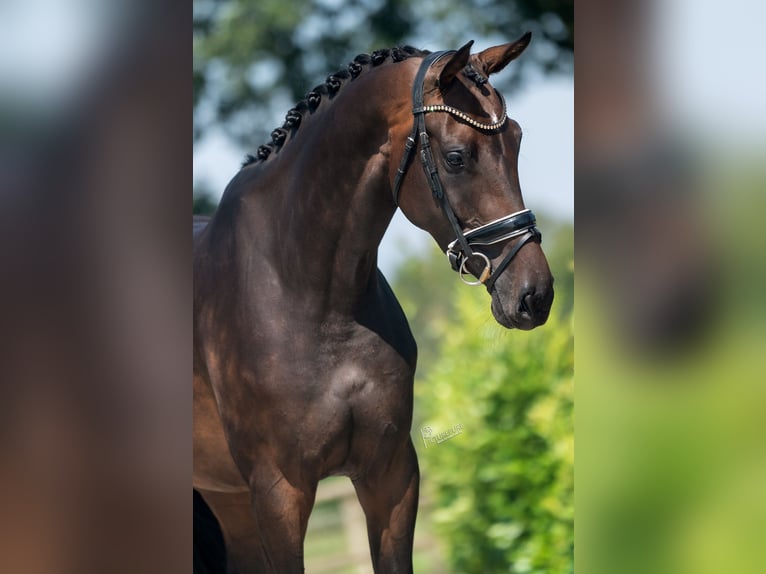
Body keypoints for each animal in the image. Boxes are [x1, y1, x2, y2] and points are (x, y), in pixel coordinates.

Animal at [192, 36, 552, 574]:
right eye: (456, 157)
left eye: (517, 140)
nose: (535, 294)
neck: (312, 297)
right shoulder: (278, 492)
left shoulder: (390, 475)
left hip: (227, 501)